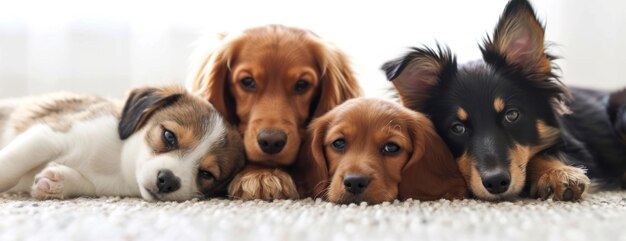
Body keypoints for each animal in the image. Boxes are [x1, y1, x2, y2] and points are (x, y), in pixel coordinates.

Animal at [0, 85, 243, 201]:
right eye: (169, 136)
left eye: (206, 174)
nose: (167, 181)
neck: (116, 165)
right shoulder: (49, 135)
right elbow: (11, 164)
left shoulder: (102, 185)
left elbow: (86, 185)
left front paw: (57, 182)